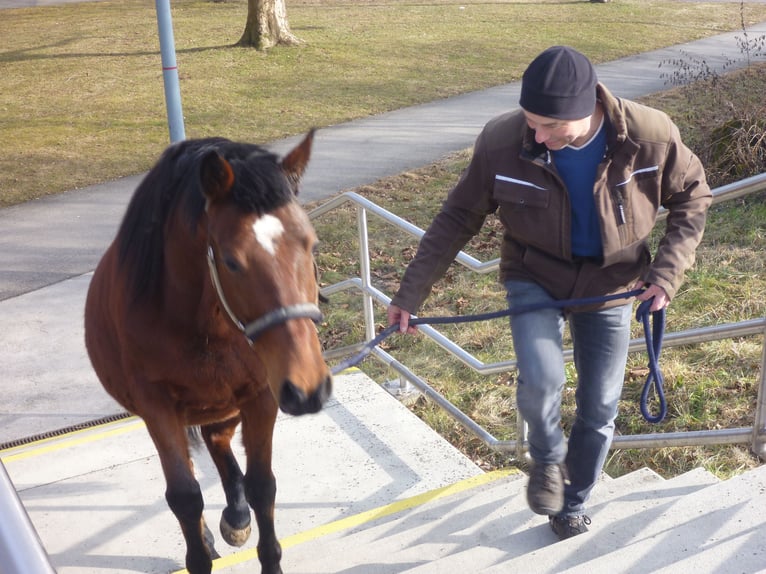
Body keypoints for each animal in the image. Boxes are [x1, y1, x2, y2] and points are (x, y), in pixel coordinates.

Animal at [85, 132, 332, 574]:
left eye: (312, 244)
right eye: (232, 262)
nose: (308, 389)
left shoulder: (261, 395)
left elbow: (262, 485)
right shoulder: (156, 407)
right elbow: (185, 497)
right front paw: (198, 548)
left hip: (227, 405)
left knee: (219, 442)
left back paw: (236, 516)